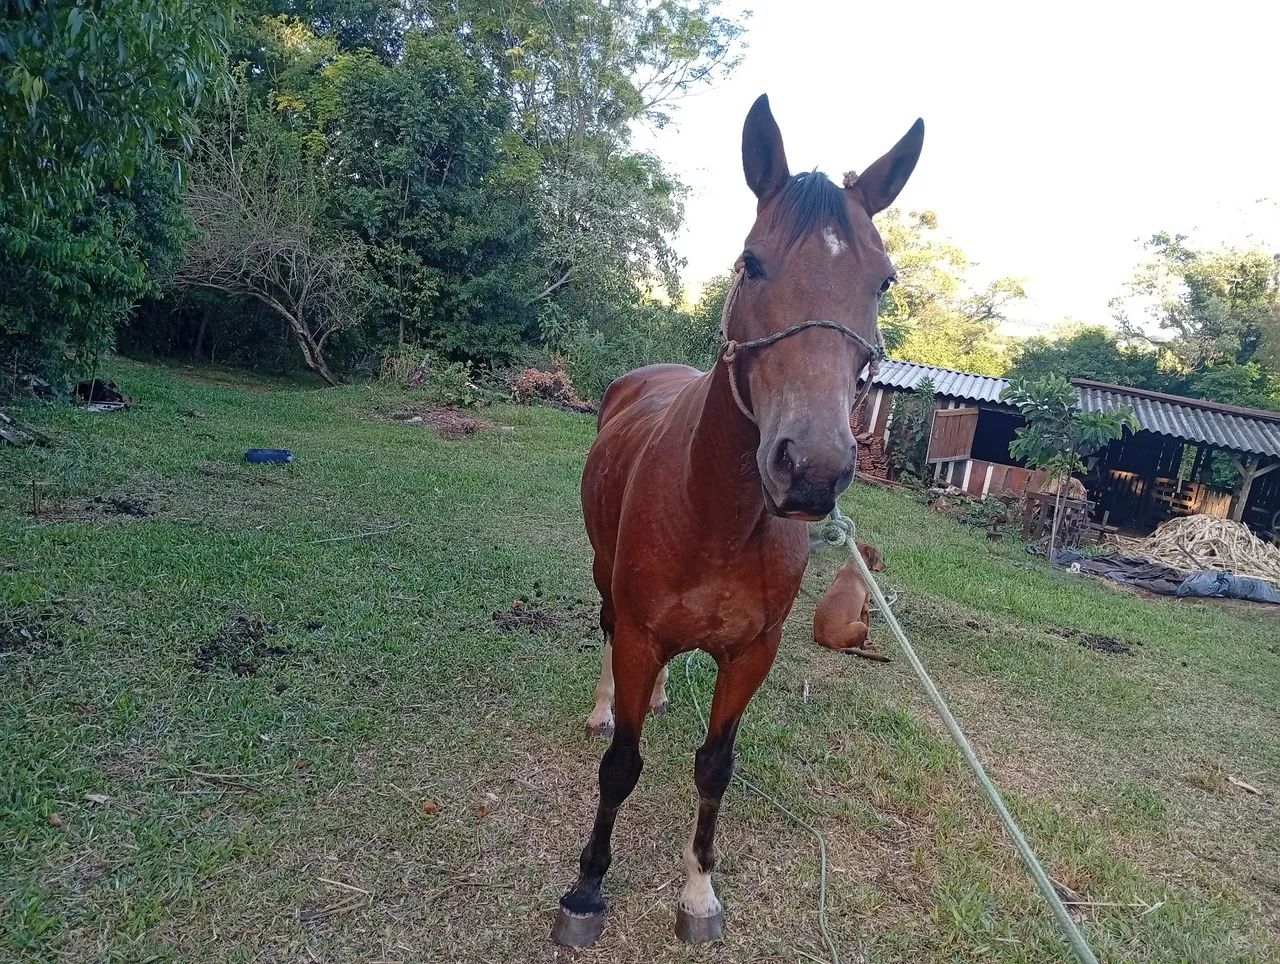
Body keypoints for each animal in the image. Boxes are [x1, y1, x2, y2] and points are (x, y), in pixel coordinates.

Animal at [553, 93, 924, 948]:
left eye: (884, 280)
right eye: (752, 263)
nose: (812, 467)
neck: (715, 512)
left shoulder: (753, 652)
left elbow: (714, 767)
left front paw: (697, 896)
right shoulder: (642, 632)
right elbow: (621, 767)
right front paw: (587, 889)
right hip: (604, 581)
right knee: (604, 635)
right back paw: (603, 708)